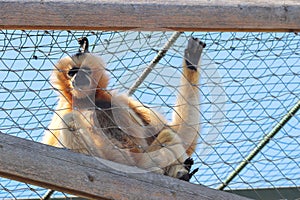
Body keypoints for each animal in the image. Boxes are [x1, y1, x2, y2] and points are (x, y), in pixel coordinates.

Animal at [43, 36, 205, 181]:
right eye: (72, 72)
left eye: (84, 70)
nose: (78, 77)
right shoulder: (63, 108)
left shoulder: (115, 97)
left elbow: (182, 135)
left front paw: (191, 62)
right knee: (70, 120)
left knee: (168, 135)